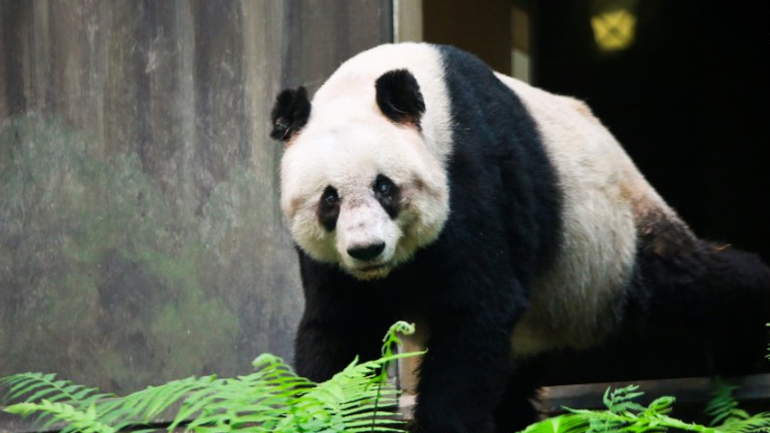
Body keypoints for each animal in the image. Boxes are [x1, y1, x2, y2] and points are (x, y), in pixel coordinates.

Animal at [270, 43, 770, 433]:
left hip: (609, 239)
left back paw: (742, 344)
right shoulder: (332, 267)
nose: (367, 249)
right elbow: (338, 330)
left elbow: (478, 310)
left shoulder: (475, 176)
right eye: (329, 200)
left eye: (385, 187)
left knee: (687, 280)